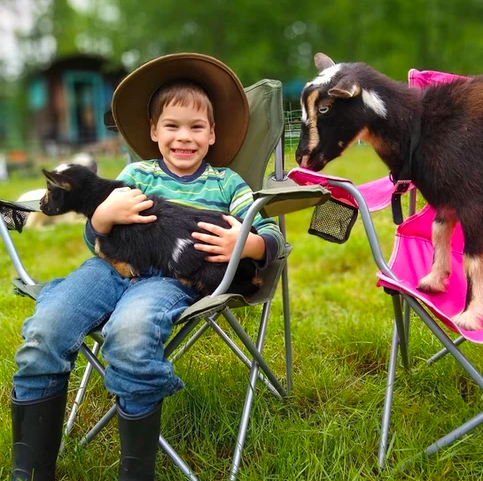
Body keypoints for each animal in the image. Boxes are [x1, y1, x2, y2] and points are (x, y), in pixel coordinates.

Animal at [40, 164, 262, 296]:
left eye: (50, 189)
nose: (41, 205)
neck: (101, 196)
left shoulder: (126, 241)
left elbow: (99, 245)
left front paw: (127, 269)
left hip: (213, 273)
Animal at [296, 52, 483, 330]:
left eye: (324, 108)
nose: (302, 158)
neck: (419, 127)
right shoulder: (447, 200)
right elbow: (438, 231)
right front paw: (433, 281)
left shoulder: (473, 203)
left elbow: (472, 258)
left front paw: (469, 317)